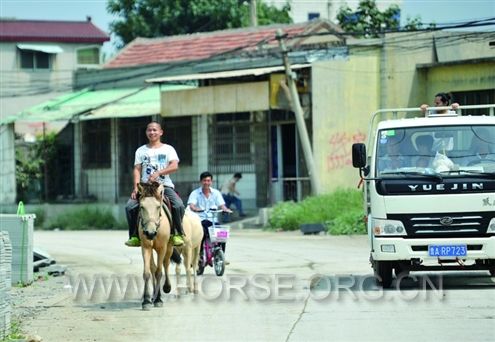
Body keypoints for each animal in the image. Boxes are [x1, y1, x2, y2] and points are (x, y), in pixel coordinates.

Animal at [137, 183, 173, 312]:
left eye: (158, 207)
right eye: (142, 207)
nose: (150, 233)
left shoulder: (162, 247)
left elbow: (159, 272)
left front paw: (158, 299)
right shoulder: (146, 247)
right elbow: (147, 272)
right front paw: (147, 300)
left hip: (169, 247)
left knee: (166, 263)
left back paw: (166, 287)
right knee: (153, 267)